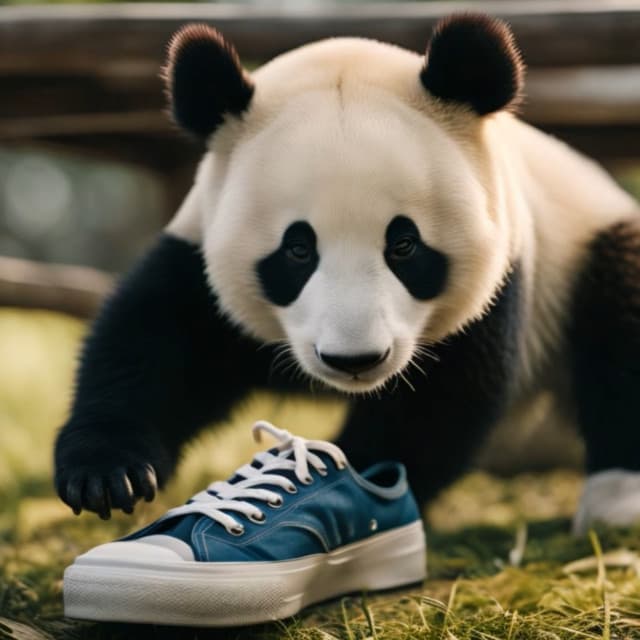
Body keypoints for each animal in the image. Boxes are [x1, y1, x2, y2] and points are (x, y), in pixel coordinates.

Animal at [54, 14, 640, 535]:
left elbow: (435, 405)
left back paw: (614, 500)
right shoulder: (201, 257)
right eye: (297, 249)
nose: (355, 360)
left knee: (618, 308)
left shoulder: (504, 269)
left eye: (403, 245)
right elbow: (154, 346)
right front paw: (109, 476)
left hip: (581, 241)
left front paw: (344, 481)